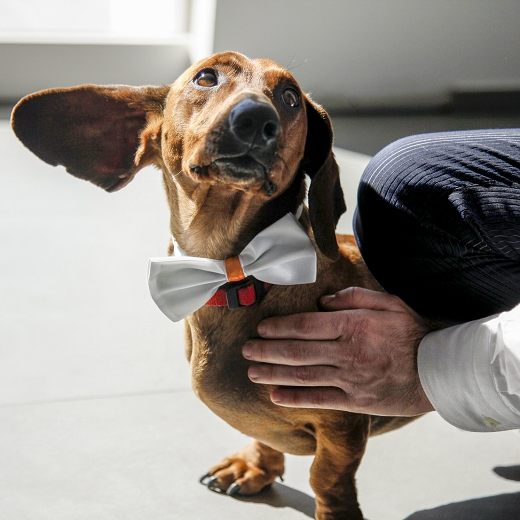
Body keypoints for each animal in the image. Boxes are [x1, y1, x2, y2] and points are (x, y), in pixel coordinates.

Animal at [13, 51, 418, 520]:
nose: (257, 120)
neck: (236, 276)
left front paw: (335, 512)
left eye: (290, 96)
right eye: (206, 77)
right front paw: (254, 465)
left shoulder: (344, 422)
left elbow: (327, 478)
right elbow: (266, 438)